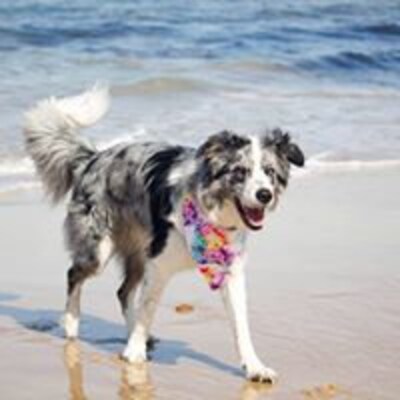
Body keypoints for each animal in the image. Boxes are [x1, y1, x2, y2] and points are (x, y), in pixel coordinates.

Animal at [24, 86, 304, 383]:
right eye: (240, 172)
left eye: (270, 172)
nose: (265, 195)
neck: (209, 214)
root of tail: (92, 158)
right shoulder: (159, 264)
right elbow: (148, 308)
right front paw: (134, 353)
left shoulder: (229, 269)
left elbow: (240, 324)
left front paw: (254, 366)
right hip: (99, 249)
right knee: (74, 274)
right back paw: (71, 324)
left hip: (138, 253)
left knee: (123, 292)